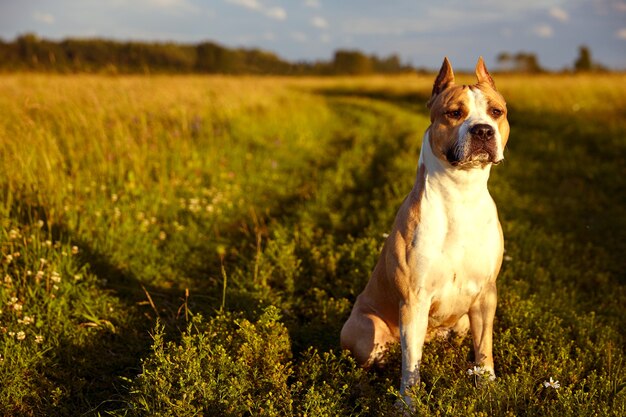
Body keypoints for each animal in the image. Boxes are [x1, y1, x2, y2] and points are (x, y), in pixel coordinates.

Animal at [338, 56, 510, 404]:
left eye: (496, 112)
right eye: (454, 113)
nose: (483, 130)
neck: (461, 194)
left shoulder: (486, 294)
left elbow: (484, 348)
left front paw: (487, 388)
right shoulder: (414, 299)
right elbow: (411, 364)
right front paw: (408, 405)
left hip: (461, 321)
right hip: (366, 331)